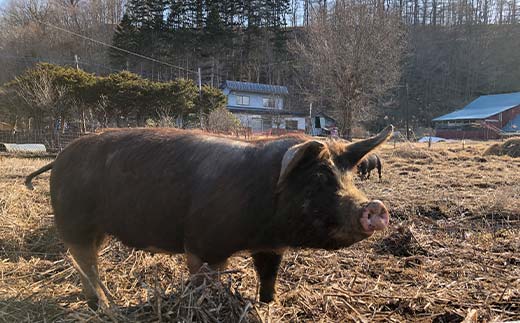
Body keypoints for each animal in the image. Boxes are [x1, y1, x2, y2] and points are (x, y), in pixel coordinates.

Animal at [26, 125, 394, 310]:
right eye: (318, 177)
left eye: (350, 176)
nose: (374, 207)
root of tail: (60, 157)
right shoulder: (203, 245)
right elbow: (206, 280)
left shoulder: (271, 246)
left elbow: (268, 276)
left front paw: (267, 304)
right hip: (74, 220)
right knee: (84, 261)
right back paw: (105, 306)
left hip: (94, 227)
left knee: (85, 261)